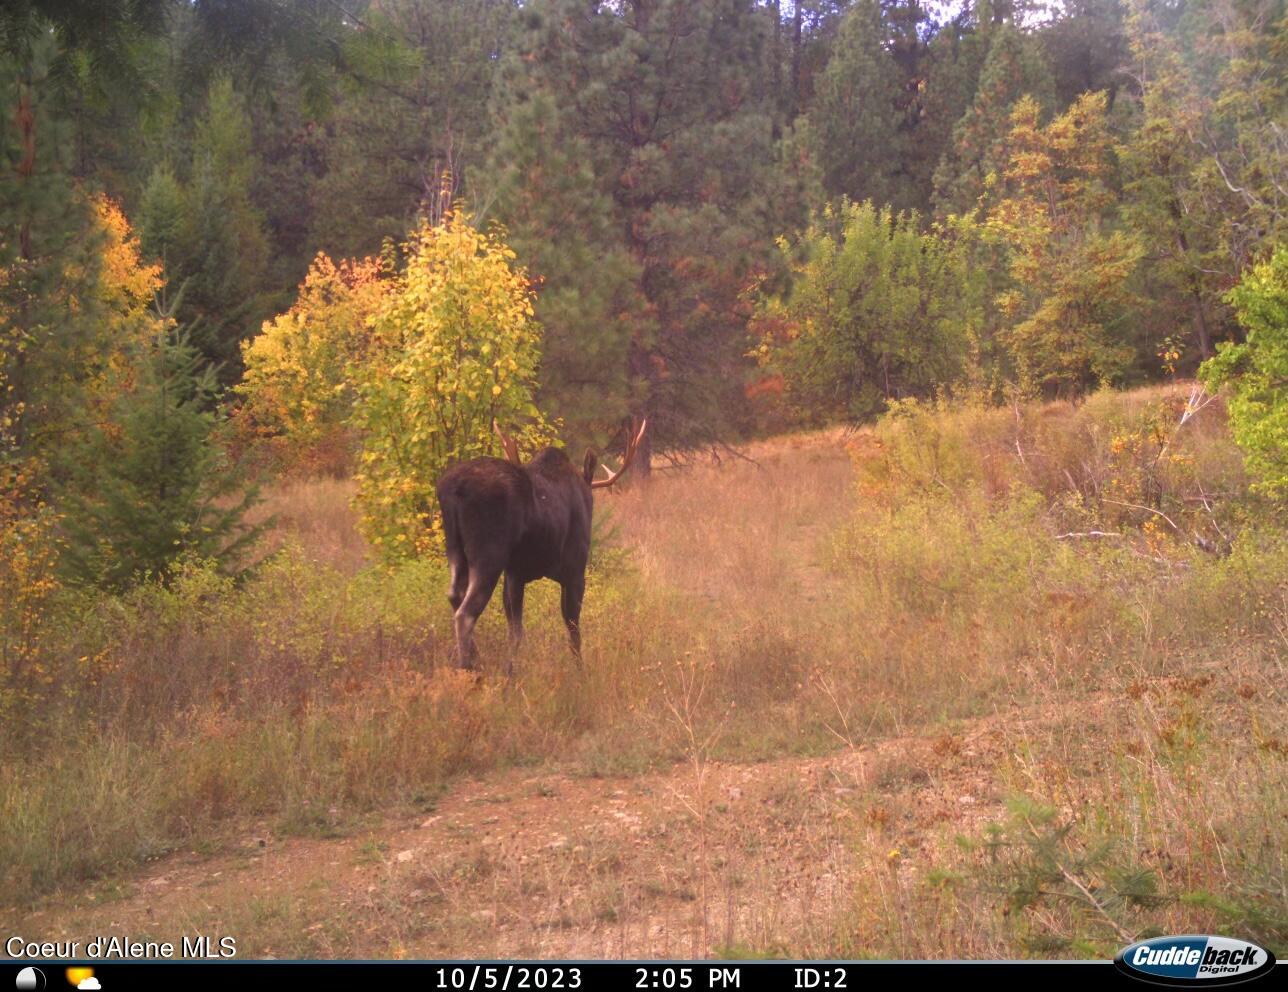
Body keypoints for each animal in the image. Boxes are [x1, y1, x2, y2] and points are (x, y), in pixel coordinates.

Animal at [437, 412, 649, 669]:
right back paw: (469, 667)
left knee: (454, 595)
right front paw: (579, 672)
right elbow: (572, 630)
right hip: (488, 554)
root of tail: (452, 488)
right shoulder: (575, 571)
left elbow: (515, 630)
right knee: (466, 613)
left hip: (455, 550)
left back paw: (476, 662)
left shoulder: (514, 573)